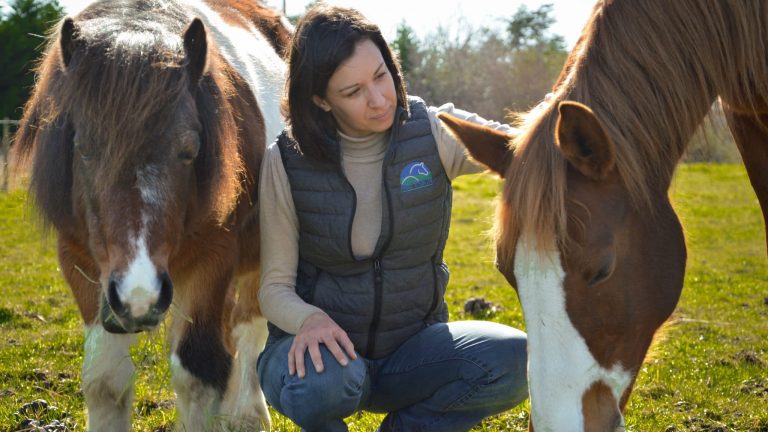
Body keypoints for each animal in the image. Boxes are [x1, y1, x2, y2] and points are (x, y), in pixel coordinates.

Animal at [12, 1, 288, 430]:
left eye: (189, 150)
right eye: (83, 148)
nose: (139, 296)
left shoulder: (211, 263)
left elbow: (198, 373)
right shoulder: (80, 263)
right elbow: (105, 380)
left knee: (248, 331)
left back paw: (247, 414)